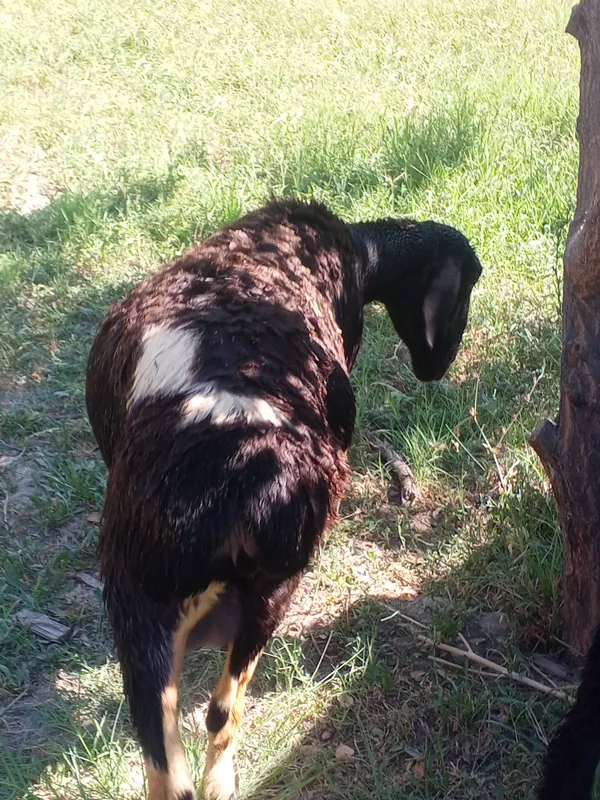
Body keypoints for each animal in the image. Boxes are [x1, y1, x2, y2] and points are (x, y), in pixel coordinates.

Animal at [85, 197, 481, 800]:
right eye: (465, 288)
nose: (437, 367)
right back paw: (224, 782)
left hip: (138, 607)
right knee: (223, 712)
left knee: (167, 758)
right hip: (271, 586)